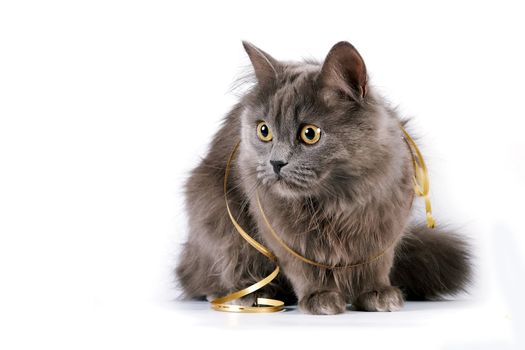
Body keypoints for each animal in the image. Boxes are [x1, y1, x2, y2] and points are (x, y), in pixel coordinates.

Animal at [177, 40, 470, 314]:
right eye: (264, 131)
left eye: (310, 134)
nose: (275, 163)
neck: (338, 199)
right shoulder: (280, 228)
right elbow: (303, 267)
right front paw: (320, 296)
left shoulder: (384, 223)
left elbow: (376, 265)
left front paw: (376, 293)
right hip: (217, 216)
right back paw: (249, 294)